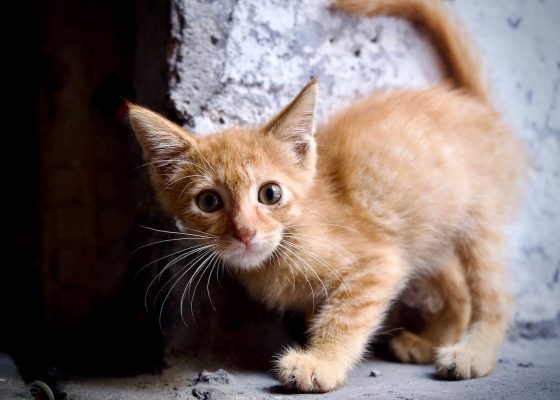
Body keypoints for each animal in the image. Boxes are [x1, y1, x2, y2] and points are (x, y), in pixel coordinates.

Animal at [127, 0, 524, 394]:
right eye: (209, 202)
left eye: (270, 194)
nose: (244, 233)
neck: (289, 240)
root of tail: (471, 103)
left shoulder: (379, 263)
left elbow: (344, 315)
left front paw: (320, 362)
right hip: (426, 227)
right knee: (457, 288)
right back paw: (429, 343)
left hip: (478, 218)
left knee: (494, 295)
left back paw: (472, 353)